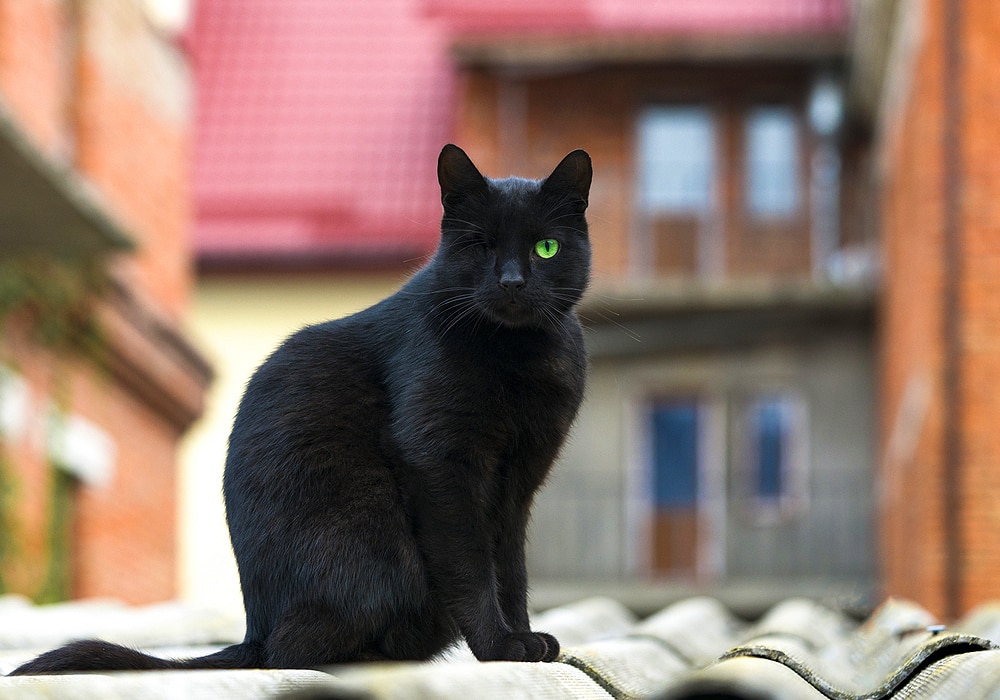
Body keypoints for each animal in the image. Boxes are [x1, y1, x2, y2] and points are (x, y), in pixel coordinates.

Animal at [11, 145, 592, 676]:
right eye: (480, 245)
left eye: (545, 247)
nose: (512, 281)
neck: (518, 355)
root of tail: (254, 629)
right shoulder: (441, 465)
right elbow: (471, 564)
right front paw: (499, 645)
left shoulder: (518, 484)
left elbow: (510, 567)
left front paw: (524, 636)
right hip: (375, 538)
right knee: (291, 651)